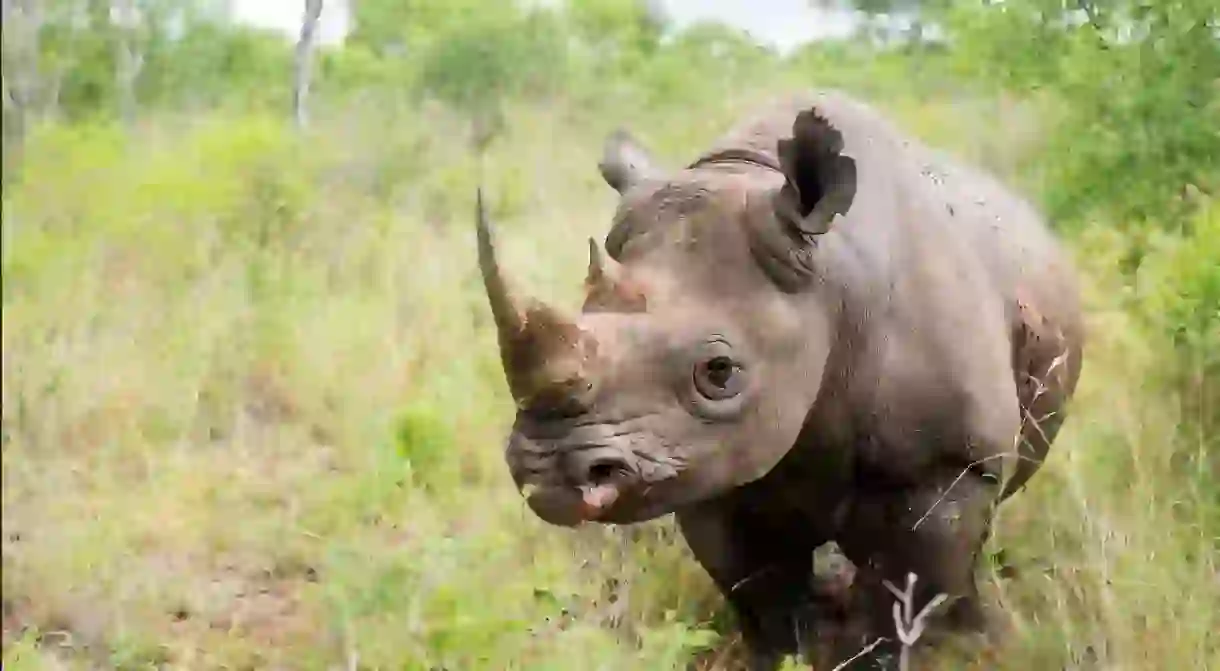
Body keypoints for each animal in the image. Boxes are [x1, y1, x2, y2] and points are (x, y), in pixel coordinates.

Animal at [470, 90, 1083, 671]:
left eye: (720, 373)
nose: (546, 473)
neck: (829, 277)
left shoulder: (948, 465)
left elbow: (895, 609)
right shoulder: (707, 466)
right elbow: (764, 603)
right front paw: (789, 652)